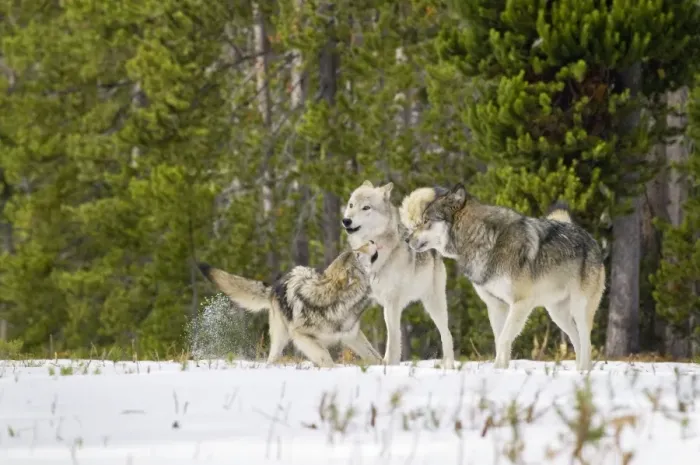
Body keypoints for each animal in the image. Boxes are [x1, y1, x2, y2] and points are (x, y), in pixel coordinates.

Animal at [197, 241, 382, 368]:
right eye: (357, 254)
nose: (372, 241)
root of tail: (276, 285)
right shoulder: (301, 336)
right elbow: (326, 358)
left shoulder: (351, 335)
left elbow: (376, 357)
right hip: (281, 337)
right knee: (272, 357)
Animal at [341, 180, 455, 369]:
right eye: (351, 205)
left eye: (366, 207)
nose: (346, 220)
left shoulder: (391, 302)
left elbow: (393, 337)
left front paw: (390, 364)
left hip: (434, 305)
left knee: (447, 335)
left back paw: (449, 366)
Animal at [402, 184, 606, 371]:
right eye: (420, 220)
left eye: (425, 220)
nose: (406, 239)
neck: (482, 239)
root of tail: (589, 237)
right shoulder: (496, 305)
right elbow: (500, 339)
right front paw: (500, 370)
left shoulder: (521, 303)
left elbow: (504, 339)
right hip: (557, 314)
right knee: (576, 339)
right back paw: (579, 372)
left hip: (580, 309)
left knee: (586, 340)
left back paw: (584, 372)